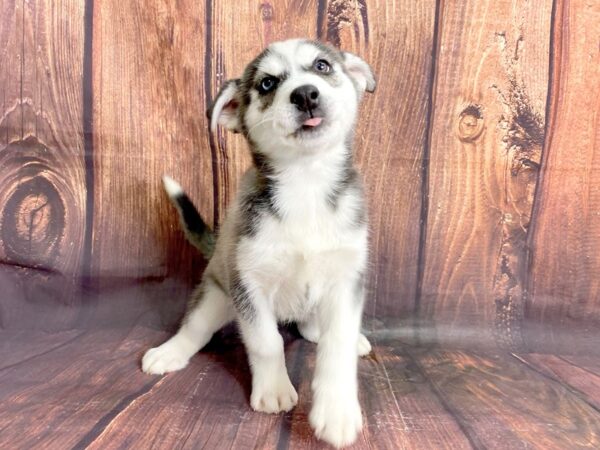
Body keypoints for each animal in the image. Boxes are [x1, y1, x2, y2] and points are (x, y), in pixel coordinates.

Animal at [142, 39, 376, 450]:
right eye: (267, 83)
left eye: (322, 66)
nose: (305, 94)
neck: (305, 185)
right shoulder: (248, 283)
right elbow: (267, 342)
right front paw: (274, 390)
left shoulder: (346, 280)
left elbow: (337, 345)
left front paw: (337, 411)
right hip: (215, 294)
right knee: (194, 329)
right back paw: (170, 353)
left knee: (313, 326)